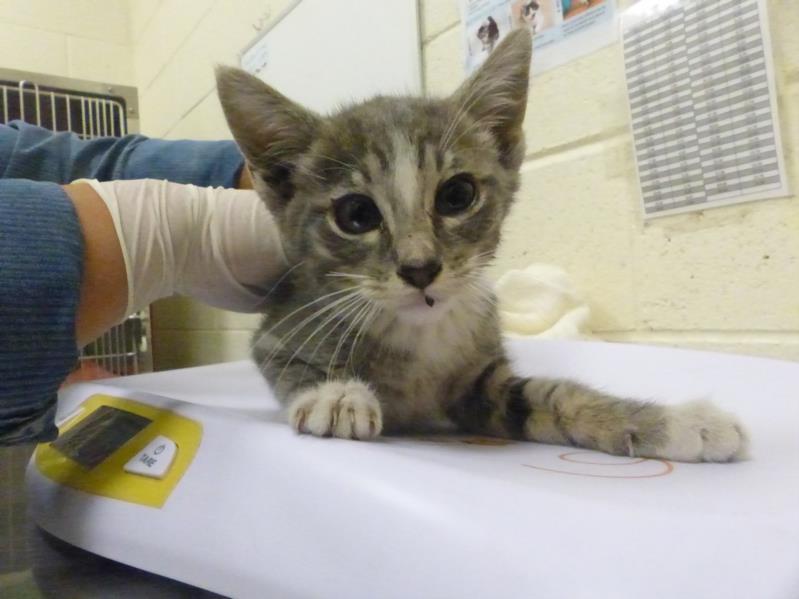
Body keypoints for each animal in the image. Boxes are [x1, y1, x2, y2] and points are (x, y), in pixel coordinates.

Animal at [216, 29, 748, 464]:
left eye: (457, 196)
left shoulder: (481, 381)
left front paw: (677, 424)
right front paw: (337, 396)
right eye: (357, 216)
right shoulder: (280, 325)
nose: (420, 267)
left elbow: (554, 396)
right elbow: (288, 363)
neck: (419, 335)